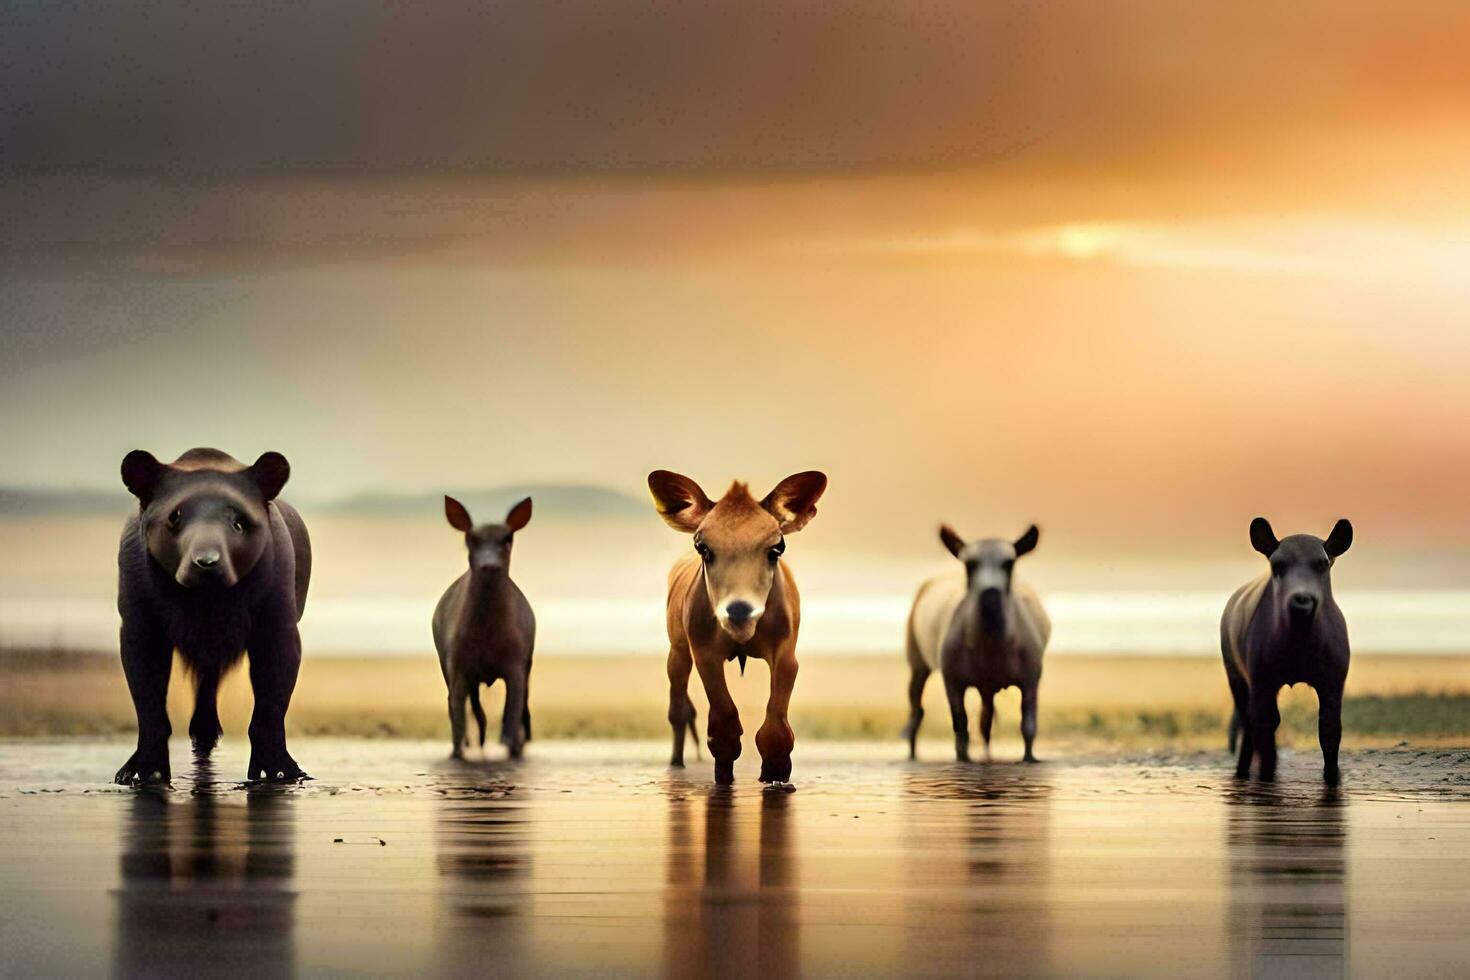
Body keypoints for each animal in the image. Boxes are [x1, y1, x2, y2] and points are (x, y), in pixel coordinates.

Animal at [119, 449, 314, 787]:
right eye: (174, 516)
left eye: (239, 522)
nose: (207, 561)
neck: (206, 602)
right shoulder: (141, 626)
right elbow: (148, 699)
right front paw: (142, 772)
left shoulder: (276, 627)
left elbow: (271, 701)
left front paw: (278, 771)